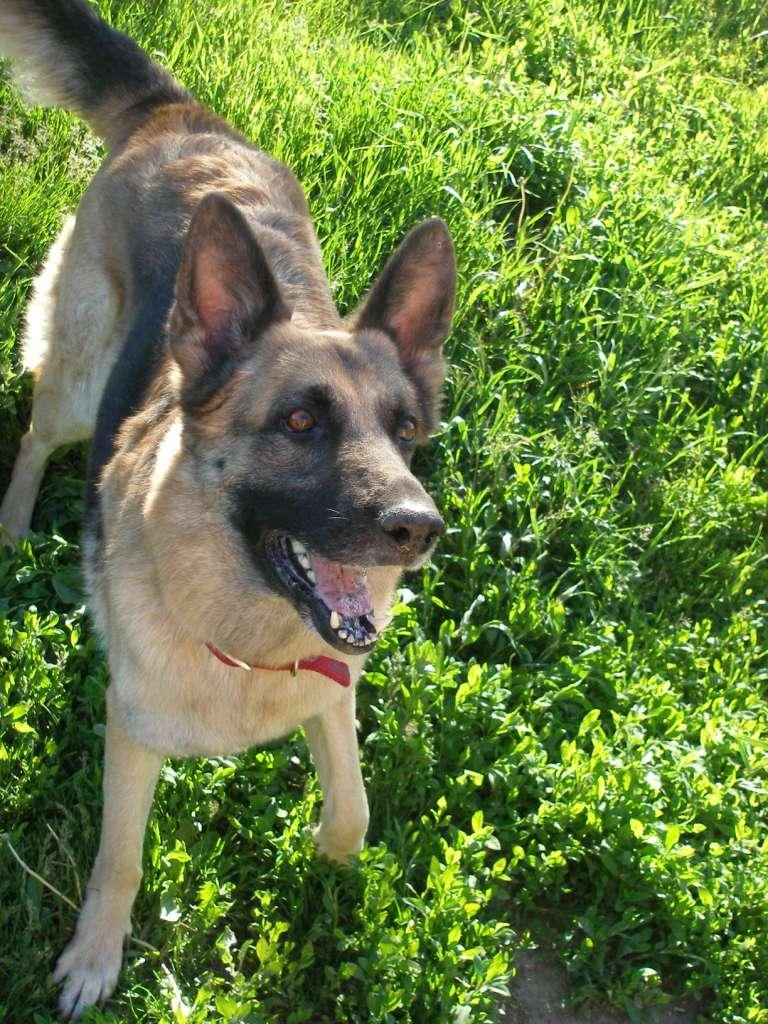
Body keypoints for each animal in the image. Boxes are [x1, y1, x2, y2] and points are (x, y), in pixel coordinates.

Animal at [0, 1, 456, 1017]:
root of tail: (181, 118)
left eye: (406, 429)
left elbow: (354, 810)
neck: (248, 640)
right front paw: (94, 960)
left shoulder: (335, 694)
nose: (417, 529)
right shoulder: (131, 735)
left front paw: (332, 866)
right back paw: (9, 525)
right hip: (78, 379)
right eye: (300, 421)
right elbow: (120, 861)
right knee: (37, 433)